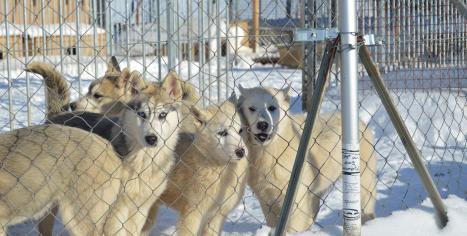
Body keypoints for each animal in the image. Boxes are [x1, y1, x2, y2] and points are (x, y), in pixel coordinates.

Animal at [238, 86, 376, 232]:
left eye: (272, 108)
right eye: (252, 108)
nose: (262, 125)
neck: (270, 151)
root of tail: (361, 122)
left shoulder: (296, 196)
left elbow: (295, 225)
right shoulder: (266, 197)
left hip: (364, 180)